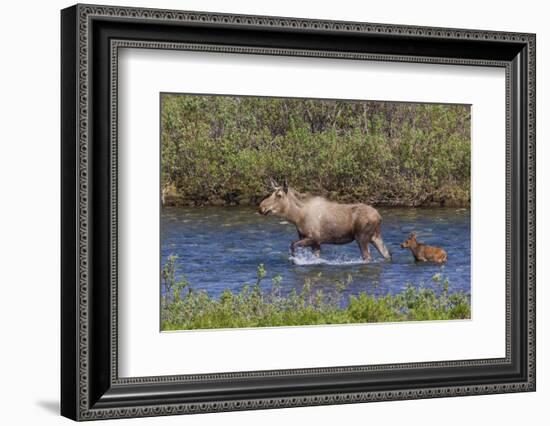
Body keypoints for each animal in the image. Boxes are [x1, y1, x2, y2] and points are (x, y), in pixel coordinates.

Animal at [260, 179, 392, 262]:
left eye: (279, 195)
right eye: (271, 193)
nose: (261, 207)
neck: (296, 217)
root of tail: (379, 217)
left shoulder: (313, 238)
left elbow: (292, 245)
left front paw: (296, 259)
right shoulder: (315, 243)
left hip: (362, 238)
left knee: (368, 257)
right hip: (375, 237)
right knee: (387, 255)